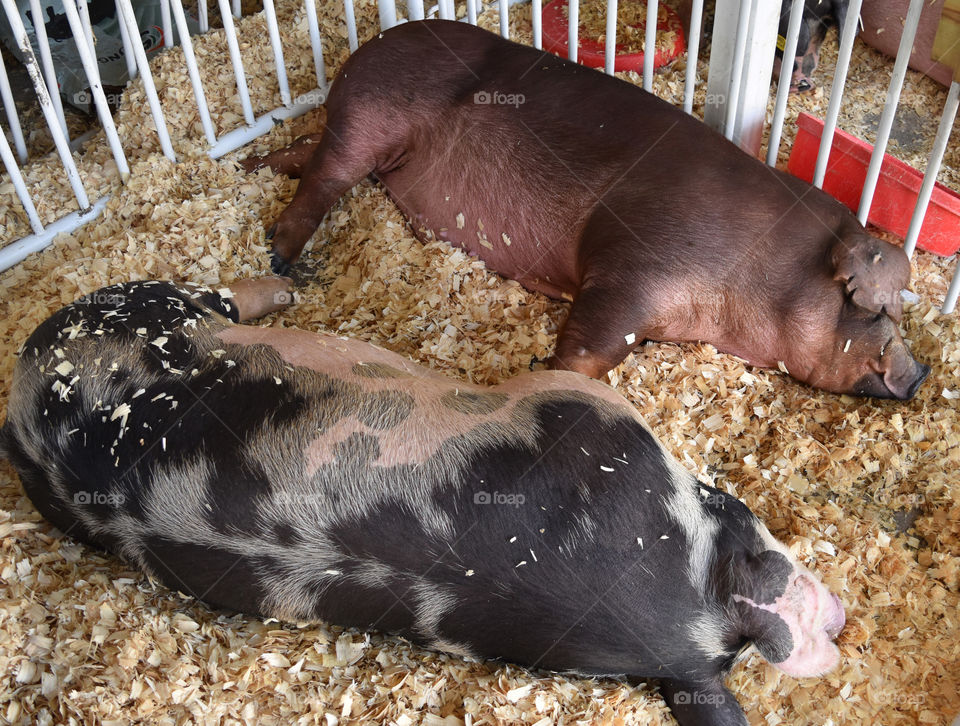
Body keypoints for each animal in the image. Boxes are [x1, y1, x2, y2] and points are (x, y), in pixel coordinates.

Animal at [246, 19, 928, 400]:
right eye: (876, 312)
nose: (920, 373)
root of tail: (372, 42)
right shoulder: (639, 256)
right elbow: (592, 345)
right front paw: (547, 372)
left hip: (362, 137)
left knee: (305, 153)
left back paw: (252, 168)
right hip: (372, 117)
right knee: (324, 178)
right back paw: (278, 257)